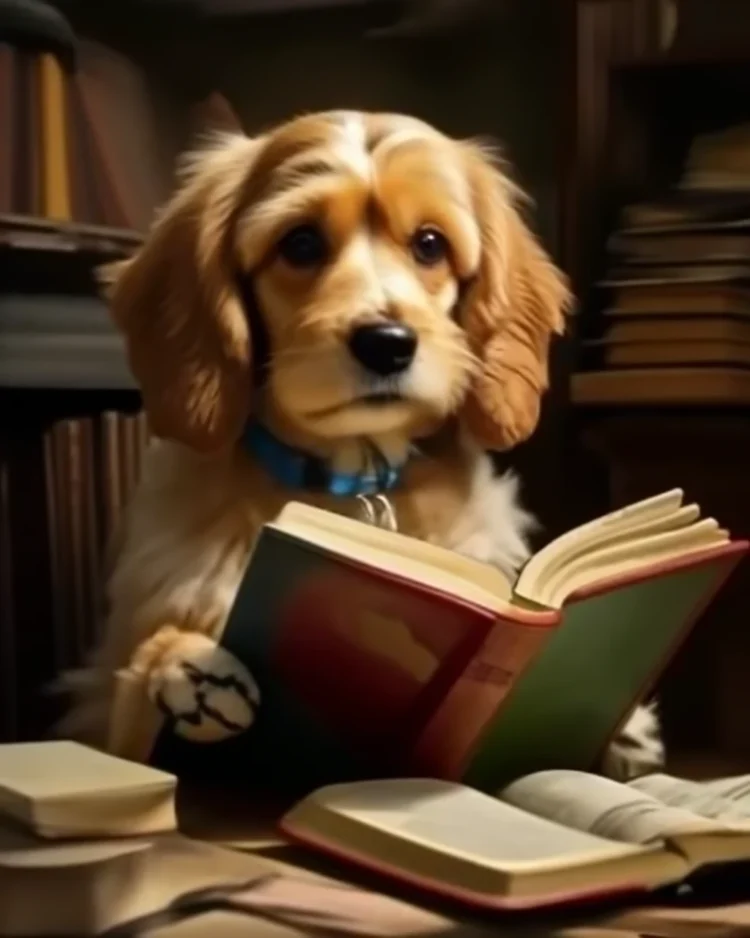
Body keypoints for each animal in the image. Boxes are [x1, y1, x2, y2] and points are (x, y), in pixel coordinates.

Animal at [63, 109, 664, 780]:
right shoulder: (99, 706)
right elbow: (130, 709)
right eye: (300, 243)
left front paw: (624, 730)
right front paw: (177, 664)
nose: (387, 343)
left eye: (430, 243)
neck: (355, 478)